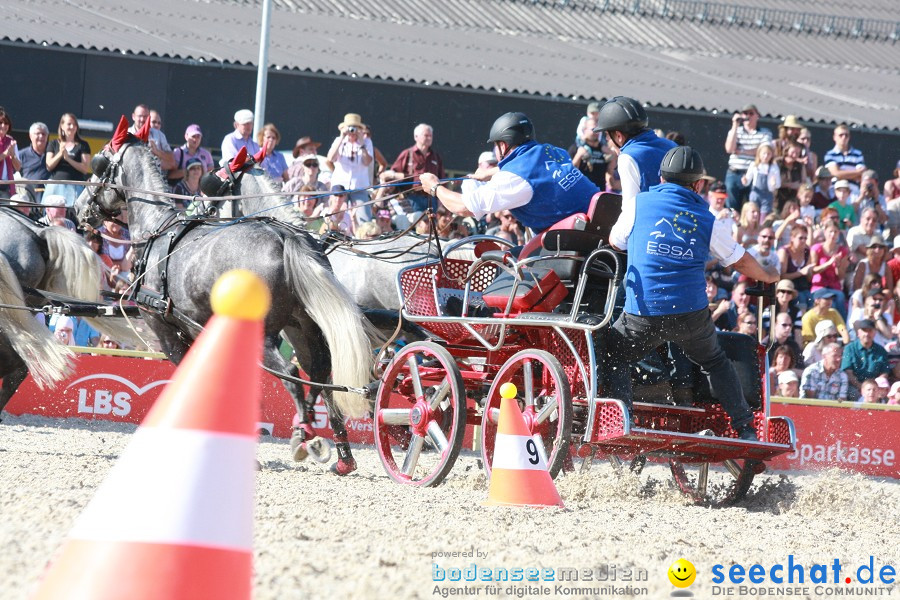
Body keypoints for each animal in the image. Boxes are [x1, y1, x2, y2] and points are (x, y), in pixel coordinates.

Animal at [77, 126, 372, 474]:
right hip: (305, 327)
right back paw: (334, 450)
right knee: (322, 375)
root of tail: (285, 237)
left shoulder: (165, 330)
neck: (156, 229)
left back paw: (305, 435)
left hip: (267, 333)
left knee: (293, 374)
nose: (79, 208)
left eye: (99, 165)